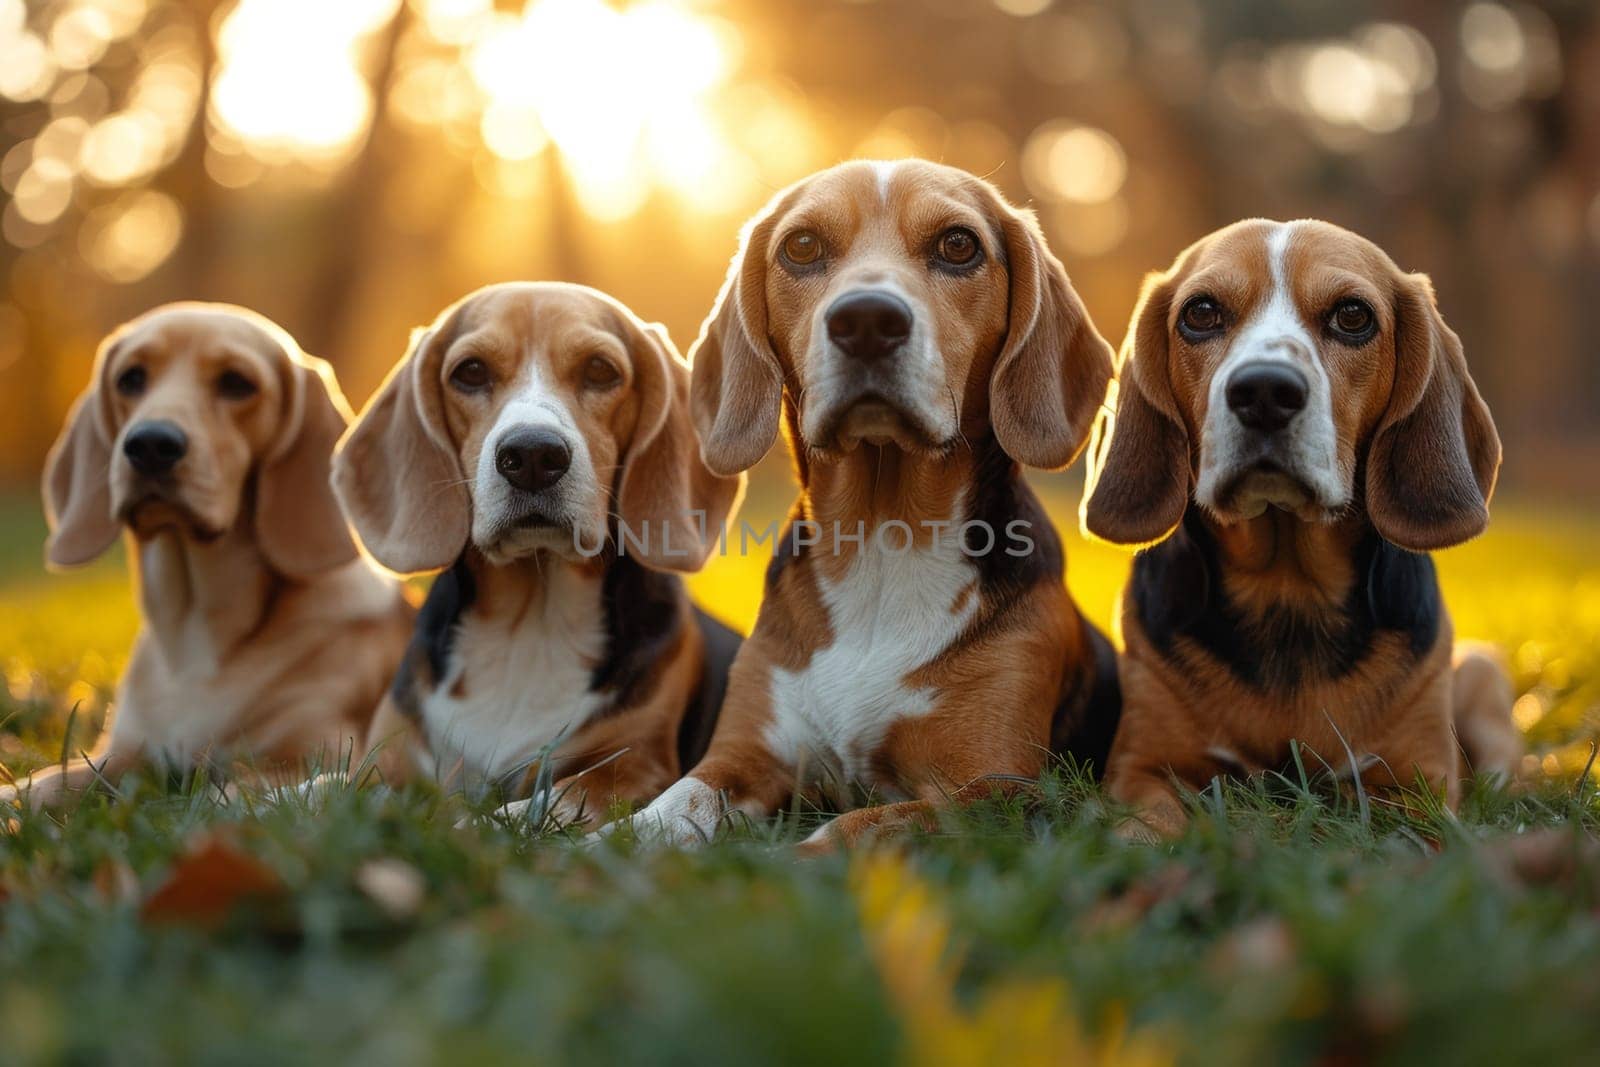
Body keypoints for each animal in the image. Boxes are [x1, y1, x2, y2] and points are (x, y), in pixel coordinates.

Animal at [3, 303, 416, 806]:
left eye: (237, 382)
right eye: (131, 378)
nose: (151, 444)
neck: (193, 637)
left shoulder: (313, 755)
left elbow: (222, 797)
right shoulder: (122, 754)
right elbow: (45, 781)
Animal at [336, 283, 742, 825]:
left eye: (600, 370)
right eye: (470, 371)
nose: (531, 455)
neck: (530, 627)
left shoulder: (635, 765)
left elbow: (541, 802)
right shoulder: (386, 762)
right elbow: (319, 787)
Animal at [604, 158, 1120, 851]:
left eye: (959, 245)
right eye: (801, 246)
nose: (868, 320)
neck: (880, 540)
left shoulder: (997, 791)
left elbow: (853, 829)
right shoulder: (742, 757)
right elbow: (667, 808)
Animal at [1081, 219, 1516, 831]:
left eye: (1353, 315)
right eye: (1201, 312)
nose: (1264, 390)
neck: (1287, 593)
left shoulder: (1416, 786)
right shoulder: (1142, 769)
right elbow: (1146, 828)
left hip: (1482, 673)